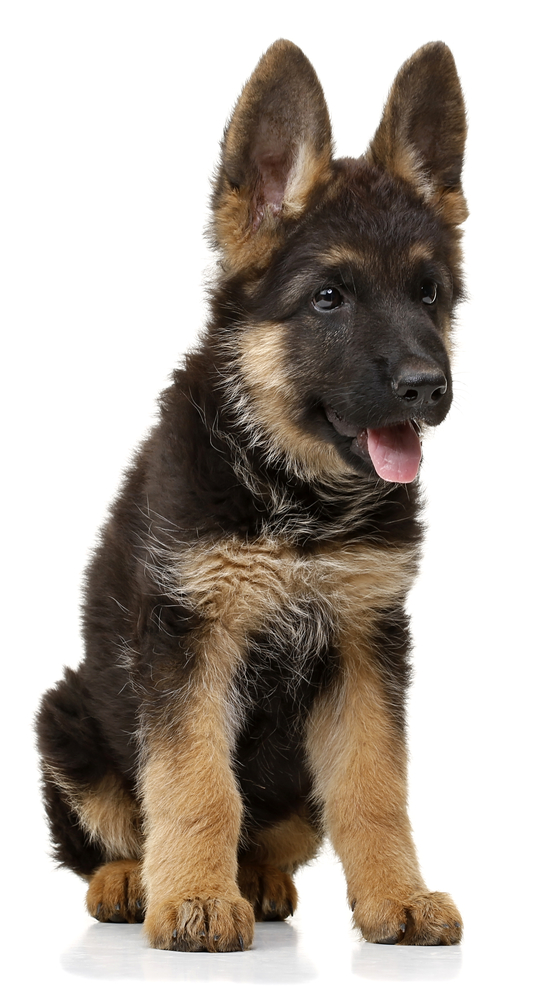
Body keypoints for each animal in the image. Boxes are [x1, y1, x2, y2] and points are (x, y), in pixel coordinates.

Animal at [35, 41, 466, 952]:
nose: (428, 387)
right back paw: (135, 880)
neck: (295, 495)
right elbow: (194, 781)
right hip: (64, 718)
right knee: (109, 833)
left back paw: (258, 879)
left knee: (277, 832)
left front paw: (399, 896)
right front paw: (194, 899)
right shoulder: (189, 635)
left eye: (430, 294)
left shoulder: (366, 641)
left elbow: (375, 785)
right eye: (329, 298)